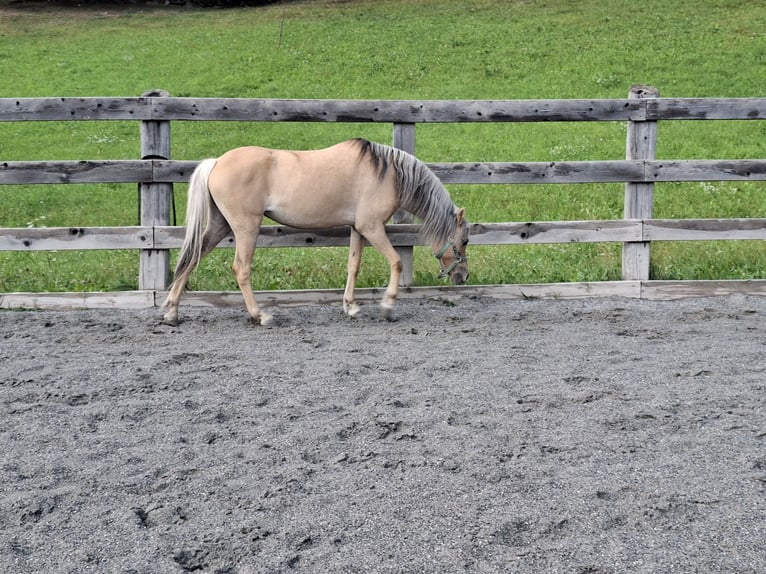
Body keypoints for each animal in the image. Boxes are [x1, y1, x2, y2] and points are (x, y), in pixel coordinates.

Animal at [161, 138, 470, 325]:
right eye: (465, 240)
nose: (463, 277)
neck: (387, 173)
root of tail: (216, 162)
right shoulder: (372, 227)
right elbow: (395, 262)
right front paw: (388, 306)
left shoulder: (358, 229)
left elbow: (353, 266)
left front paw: (350, 306)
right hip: (246, 228)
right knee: (241, 268)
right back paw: (260, 315)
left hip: (219, 225)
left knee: (191, 258)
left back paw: (172, 311)